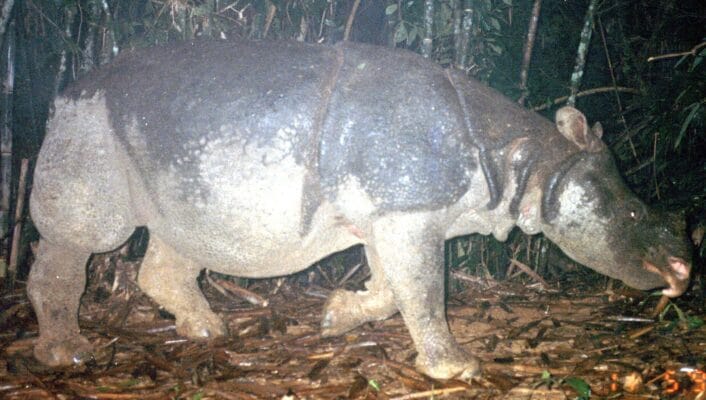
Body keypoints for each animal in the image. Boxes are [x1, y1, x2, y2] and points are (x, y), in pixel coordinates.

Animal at [28, 40, 691, 379]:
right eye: (634, 218)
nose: (684, 272)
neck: (529, 160)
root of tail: (60, 93)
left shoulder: (391, 213)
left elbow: (395, 289)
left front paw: (334, 319)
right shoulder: (409, 209)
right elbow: (424, 288)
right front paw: (458, 369)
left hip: (165, 145)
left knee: (178, 235)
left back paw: (208, 330)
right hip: (88, 127)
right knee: (84, 237)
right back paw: (70, 355)